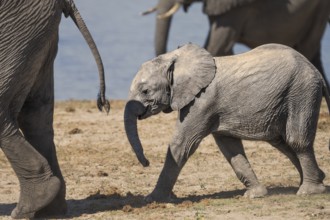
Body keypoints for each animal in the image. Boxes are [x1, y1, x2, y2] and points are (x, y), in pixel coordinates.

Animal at [124, 42, 330, 201]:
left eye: (145, 91)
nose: (147, 162)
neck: (176, 58)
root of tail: (316, 71)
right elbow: (231, 150)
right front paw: (255, 195)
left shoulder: (202, 102)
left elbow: (182, 144)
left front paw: (152, 199)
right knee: (282, 142)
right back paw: (318, 179)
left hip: (302, 92)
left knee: (296, 141)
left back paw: (309, 191)